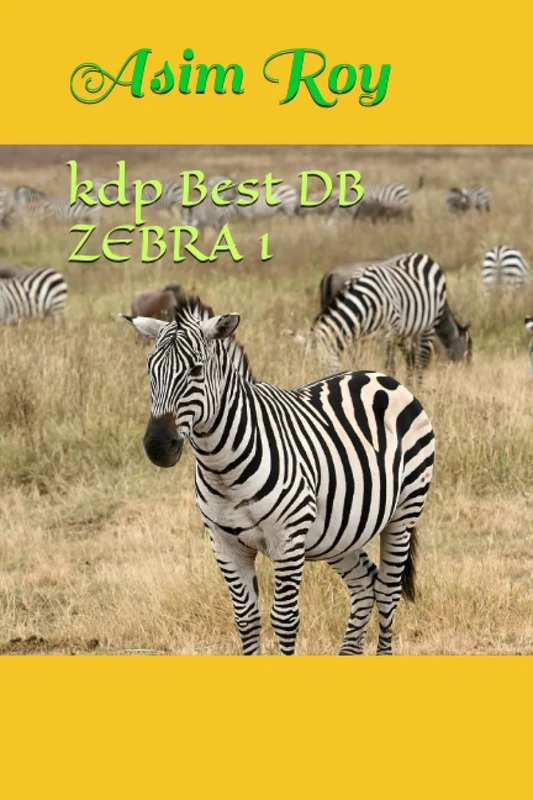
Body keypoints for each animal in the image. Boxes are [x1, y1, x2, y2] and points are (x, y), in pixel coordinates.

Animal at [121, 295, 435, 656]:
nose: (157, 446)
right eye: (150, 367)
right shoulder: (224, 544)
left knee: (386, 591)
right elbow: (246, 619)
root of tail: (380, 376)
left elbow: (284, 620)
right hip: (340, 533)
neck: (222, 468)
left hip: (404, 512)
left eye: (196, 370)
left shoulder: (287, 539)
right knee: (364, 582)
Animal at [306, 252, 455, 382]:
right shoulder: (357, 334)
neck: (366, 302)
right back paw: (409, 383)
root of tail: (421, 255)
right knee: (410, 358)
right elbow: (356, 359)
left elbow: (390, 365)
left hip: (428, 324)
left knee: (420, 359)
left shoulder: (389, 331)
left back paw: (417, 386)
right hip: (404, 331)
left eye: (320, 365)